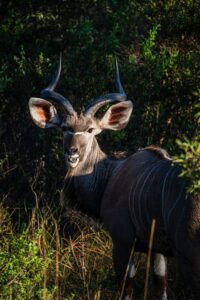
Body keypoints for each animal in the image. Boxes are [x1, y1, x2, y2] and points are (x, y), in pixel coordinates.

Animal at [28, 55, 200, 298]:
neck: (110, 174)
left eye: (90, 129)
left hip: (189, 255)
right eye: (64, 128)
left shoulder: (122, 241)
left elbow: (125, 288)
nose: (72, 152)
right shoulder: (156, 250)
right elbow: (161, 287)